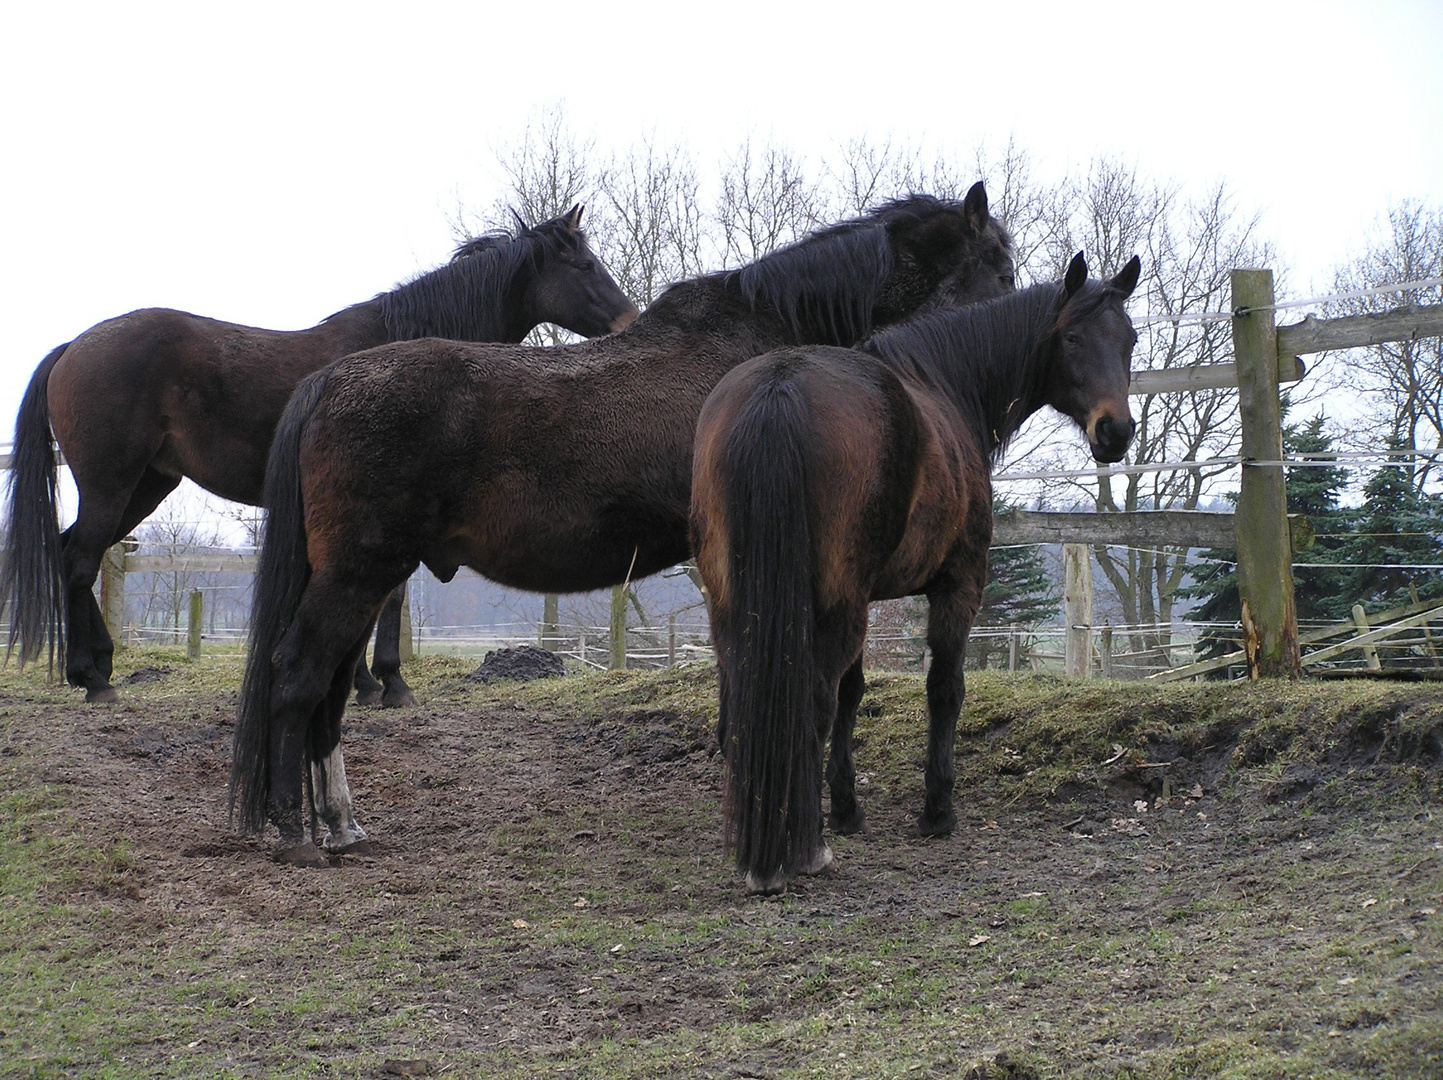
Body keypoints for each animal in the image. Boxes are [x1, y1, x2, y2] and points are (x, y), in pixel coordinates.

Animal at [4, 205, 637, 704]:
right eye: (584, 266)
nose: (630, 321)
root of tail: (75, 347)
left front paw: (366, 681)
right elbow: (388, 595)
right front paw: (384, 683)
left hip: (147, 485)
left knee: (72, 553)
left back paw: (96, 666)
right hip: (112, 483)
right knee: (79, 560)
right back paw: (93, 680)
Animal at [227, 183, 1015, 860]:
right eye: (998, 267)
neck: (768, 343)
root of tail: (327, 382)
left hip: (358, 579)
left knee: (330, 692)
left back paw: (339, 823)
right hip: (357, 574)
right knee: (298, 677)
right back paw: (296, 831)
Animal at [692, 252, 1142, 895]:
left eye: (1129, 339)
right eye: (1073, 337)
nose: (1115, 431)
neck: (942, 384)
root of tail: (779, 389)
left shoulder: (864, 597)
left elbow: (856, 692)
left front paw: (848, 806)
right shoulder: (958, 585)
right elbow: (943, 690)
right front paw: (937, 810)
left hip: (735, 604)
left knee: (747, 700)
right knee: (813, 701)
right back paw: (804, 849)